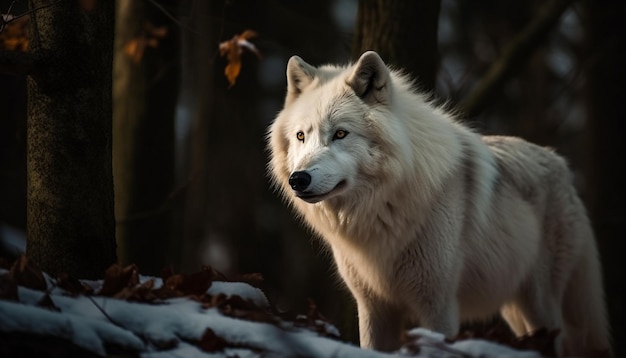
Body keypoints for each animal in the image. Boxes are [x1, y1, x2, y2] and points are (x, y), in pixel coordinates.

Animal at [266, 50, 608, 356]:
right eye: (301, 136)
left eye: (340, 134)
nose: (299, 179)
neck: (381, 210)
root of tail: (561, 164)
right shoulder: (374, 306)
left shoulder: (438, 306)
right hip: (516, 310)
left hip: (540, 303)